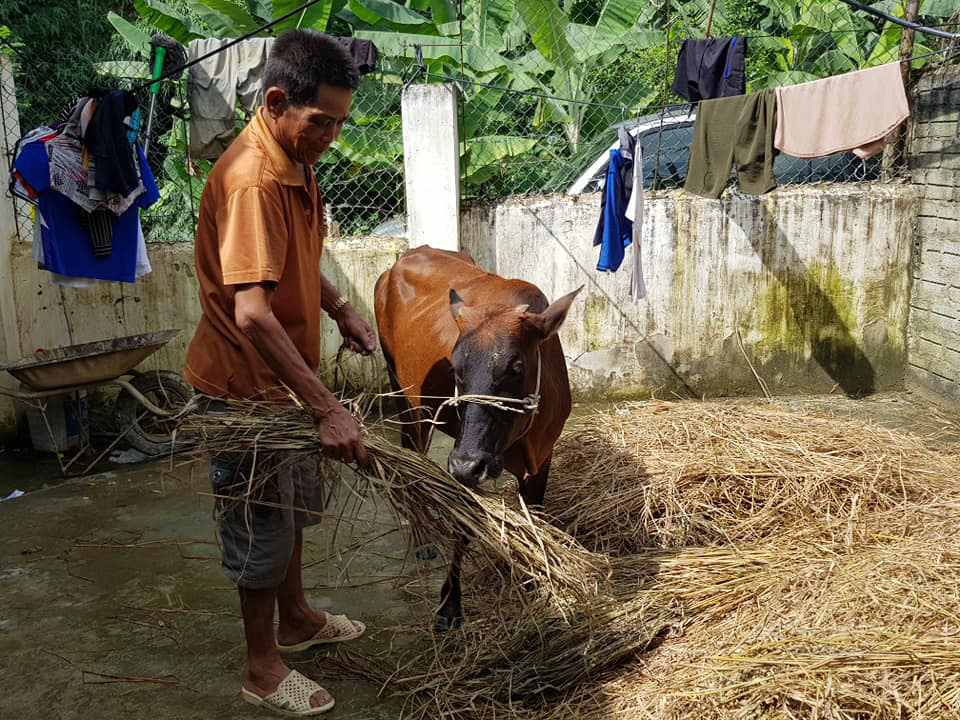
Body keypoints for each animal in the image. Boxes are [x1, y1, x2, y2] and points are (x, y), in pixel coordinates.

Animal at [374, 245, 580, 628]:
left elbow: (534, 520)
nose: (468, 464)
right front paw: (449, 604)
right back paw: (421, 536)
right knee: (411, 455)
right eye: (455, 368)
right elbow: (464, 526)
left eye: (515, 368)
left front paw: (531, 580)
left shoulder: (542, 457)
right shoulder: (464, 459)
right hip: (406, 396)